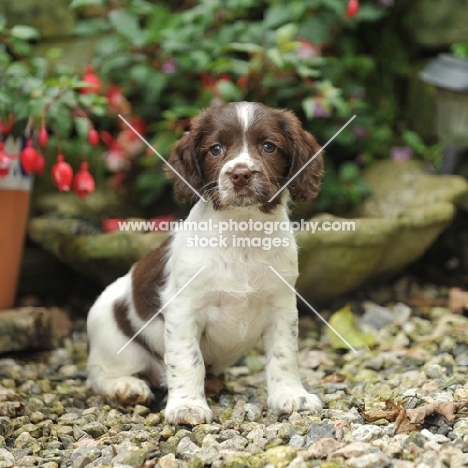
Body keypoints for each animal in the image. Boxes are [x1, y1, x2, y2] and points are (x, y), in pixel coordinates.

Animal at [87, 101, 322, 424]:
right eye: (216, 149)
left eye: (268, 146)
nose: (240, 174)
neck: (242, 232)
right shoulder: (183, 310)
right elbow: (189, 359)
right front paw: (187, 407)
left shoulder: (282, 306)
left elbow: (283, 354)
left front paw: (290, 396)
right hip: (111, 334)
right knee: (101, 372)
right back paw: (126, 387)